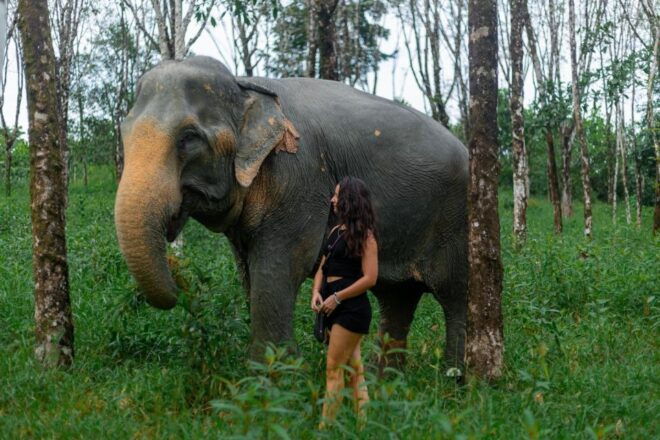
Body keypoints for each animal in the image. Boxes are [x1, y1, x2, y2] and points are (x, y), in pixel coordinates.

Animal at [114, 56, 468, 371]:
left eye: (188, 138)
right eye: (124, 133)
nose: (179, 283)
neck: (245, 85)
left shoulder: (299, 179)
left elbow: (282, 263)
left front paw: (272, 378)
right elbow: (248, 271)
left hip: (456, 220)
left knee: (453, 296)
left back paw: (456, 381)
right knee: (397, 297)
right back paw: (384, 381)